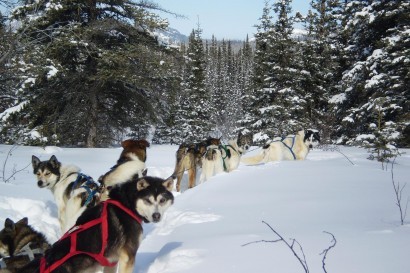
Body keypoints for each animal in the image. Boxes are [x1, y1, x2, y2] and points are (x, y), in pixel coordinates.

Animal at [15, 175, 173, 272]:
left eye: (162, 200)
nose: (156, 216)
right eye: (147, 200)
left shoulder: (112, 260)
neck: (126, 204)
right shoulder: (128, 257)